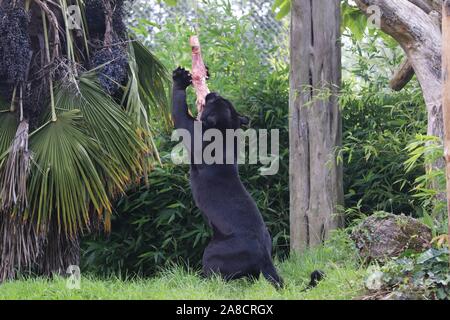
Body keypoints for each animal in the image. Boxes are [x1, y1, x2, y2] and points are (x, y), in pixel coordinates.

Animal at [171, 67, 284, 288]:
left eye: (216, 102)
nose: (212, 93)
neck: (226, 130)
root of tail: (265, 255)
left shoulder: (189, 127)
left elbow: (178, 107)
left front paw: (180, 78)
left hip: (211, 253)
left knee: (217, 278)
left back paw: (198, 282)